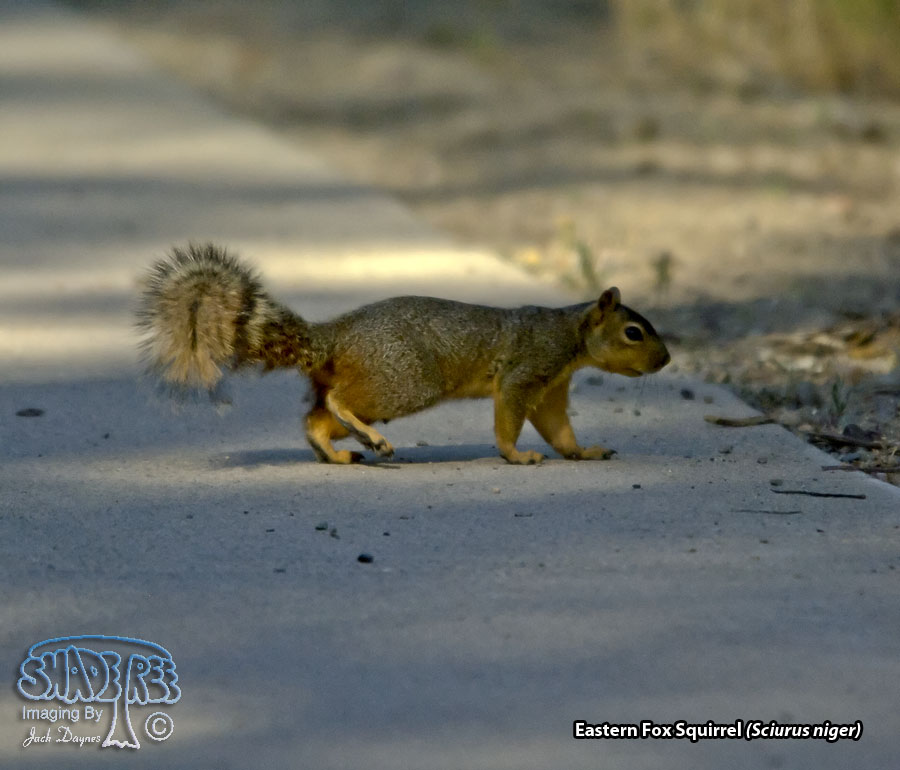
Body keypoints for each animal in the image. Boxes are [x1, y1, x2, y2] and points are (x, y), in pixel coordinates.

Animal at [137, 243, 670, 465]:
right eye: (634, 333)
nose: (665, 361)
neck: (569, 334)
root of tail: (334, 337)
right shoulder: (525, 374)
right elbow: (509, 422)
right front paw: (517, 455)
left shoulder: (551, 388)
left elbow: (559, 428)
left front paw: (584, 451)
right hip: (405, 382)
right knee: (337, 403)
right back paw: (368, 437)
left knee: (315, 418)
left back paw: (341, 453)